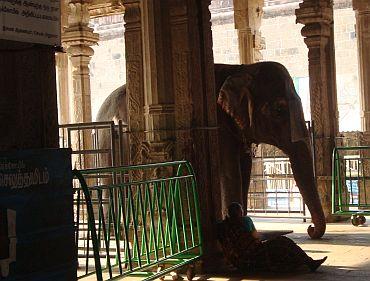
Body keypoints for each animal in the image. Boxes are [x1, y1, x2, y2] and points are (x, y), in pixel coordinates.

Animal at [97, 61, 326, 238]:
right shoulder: (219, 123)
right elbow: (229, 168)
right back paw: (117, 234)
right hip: (106, 138)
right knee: (111, 180)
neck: (242, 68)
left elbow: (244, 166)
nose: (310, 229)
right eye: (279, 110)